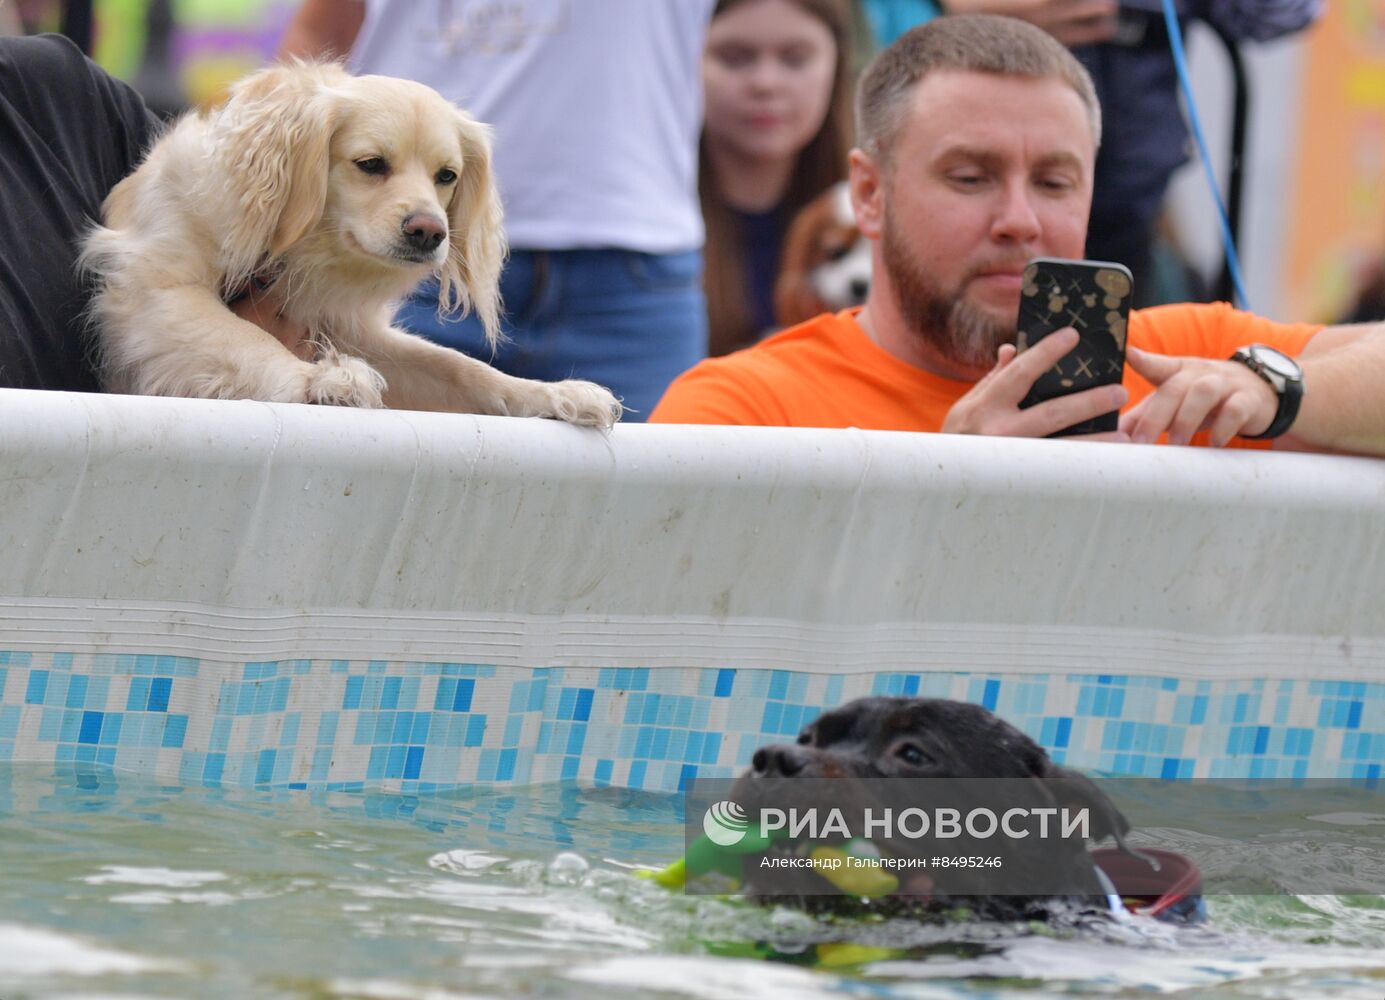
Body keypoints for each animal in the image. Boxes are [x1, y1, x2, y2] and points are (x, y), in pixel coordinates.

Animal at [82, 60, 623, 423]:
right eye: (371, 164)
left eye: (446, 176)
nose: (430, 232)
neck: (293, 250)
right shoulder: (159, 291)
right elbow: (245, 340)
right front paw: (318, 379)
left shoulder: (351, 332)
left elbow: (460, 368)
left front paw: (550, 394)